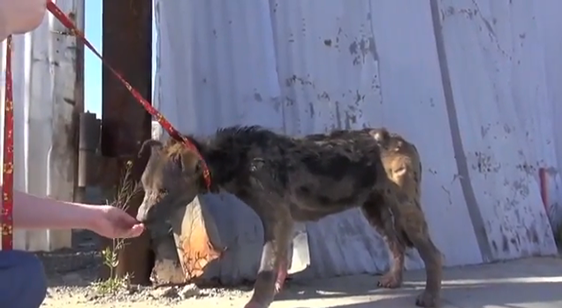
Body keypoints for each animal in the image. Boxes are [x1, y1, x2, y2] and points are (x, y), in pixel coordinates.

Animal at [136, 125, 442, 308]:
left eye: (164, 190)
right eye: (144, 185)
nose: (139, 219)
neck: (238, 159)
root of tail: (402, 141)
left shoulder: (277, 219)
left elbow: (265, 270)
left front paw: (257, 303)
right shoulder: (283, 223)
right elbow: (279, 264)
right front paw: (277, 291)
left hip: (405, 209)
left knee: (433, 254)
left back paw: (429, 296)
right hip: (374, 208)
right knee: (396, 244)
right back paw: (394, 280)